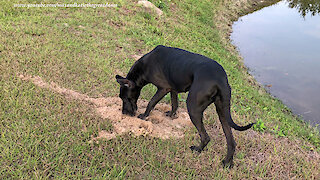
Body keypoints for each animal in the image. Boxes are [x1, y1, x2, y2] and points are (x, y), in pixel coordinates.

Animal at [116, 45, 254, 167]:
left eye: (127, 98)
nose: (124, 113)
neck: (145, 66)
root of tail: (221, 80)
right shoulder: (172, 88)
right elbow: (174, 103)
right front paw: (171, 115)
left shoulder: (163, 88)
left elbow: (152, 102)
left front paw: (144, 115)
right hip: (222, 111)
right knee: (231, 142)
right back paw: (227, 163)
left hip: (193, 108)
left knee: (206, 137)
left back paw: (197, 150)